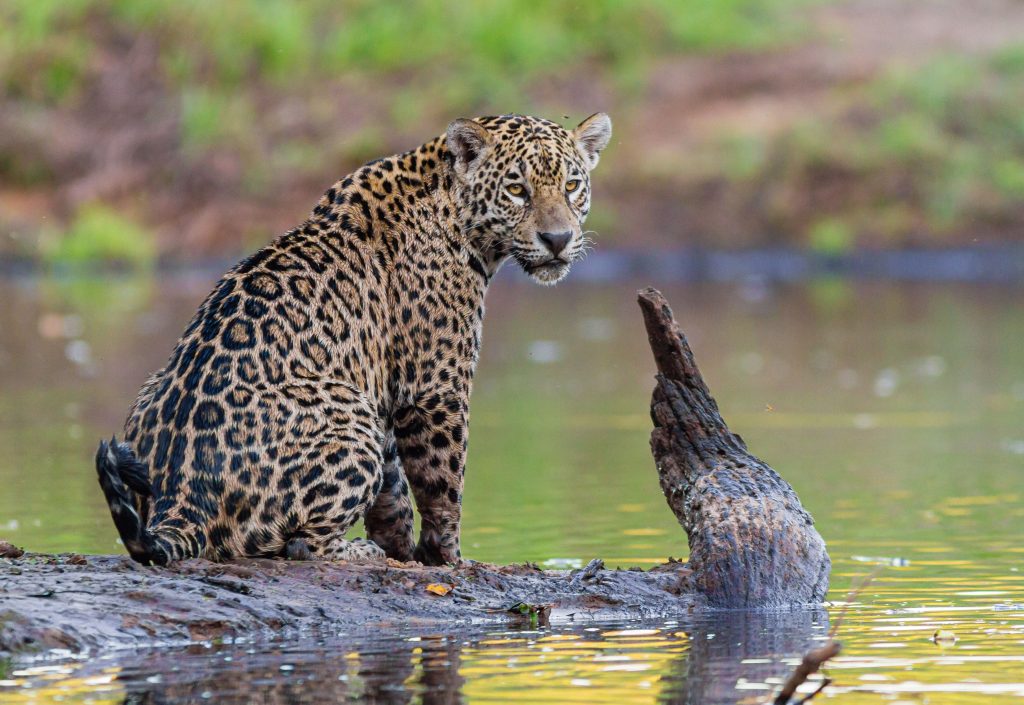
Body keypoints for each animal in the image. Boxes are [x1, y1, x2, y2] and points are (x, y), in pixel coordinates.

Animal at [95, 112, 613, 567]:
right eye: (517, 189)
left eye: (571, 185)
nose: (557, 239)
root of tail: (180, 495)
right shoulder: (435, 386)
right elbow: (443, 482)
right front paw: (447, 557)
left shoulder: (382, 386)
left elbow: (394, 487)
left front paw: (404, 547)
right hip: (347, 414)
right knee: (294, 546)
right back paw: (356, 551)